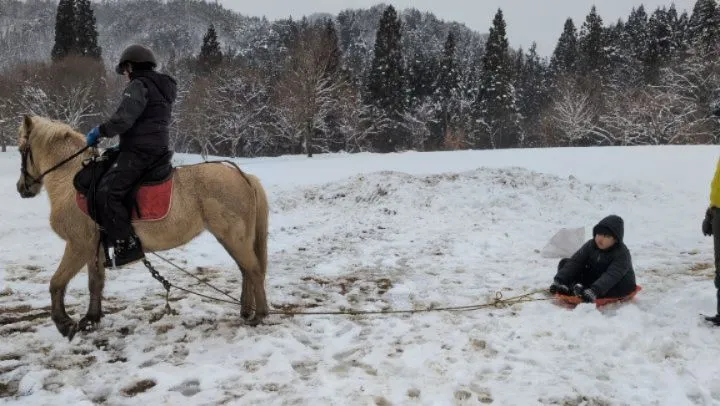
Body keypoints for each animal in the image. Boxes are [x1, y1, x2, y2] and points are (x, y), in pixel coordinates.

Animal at [14, 115, 270, 340]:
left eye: (21, 150)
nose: (21, 188)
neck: (69, 181)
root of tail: (243, 176)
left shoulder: (78, 246)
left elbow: (57, 282)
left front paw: (64, 323)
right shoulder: (93, 249)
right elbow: (95, 283)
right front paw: (91, 319)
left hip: (233, 237)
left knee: (254, 270)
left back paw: (260, 315)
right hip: (233, 238)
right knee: (246, 271)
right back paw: (246, 311)